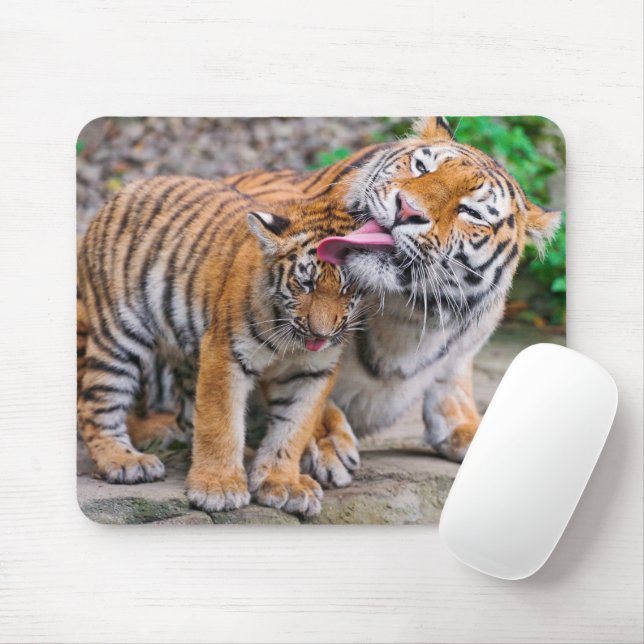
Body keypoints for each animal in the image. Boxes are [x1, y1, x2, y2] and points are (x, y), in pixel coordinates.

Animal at [76, 179, 363, 516]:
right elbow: (220, 422)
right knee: (95, 403)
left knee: (188, 416)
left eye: (347, 288)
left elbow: (292, 428)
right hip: (119, 335)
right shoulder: (226, 352)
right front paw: (219, 487)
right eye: (305, 284)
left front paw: (282, 482)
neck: (290, 338)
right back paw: (125, 461)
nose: (321, 333)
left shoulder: (312, 371)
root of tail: (124, 190)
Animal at [220, 117, 562, 474]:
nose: (407, 209)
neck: (407, 312)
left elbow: (453, 384)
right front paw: (327, 442)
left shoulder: (466, 344)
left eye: (471, 212)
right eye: (421, 167)